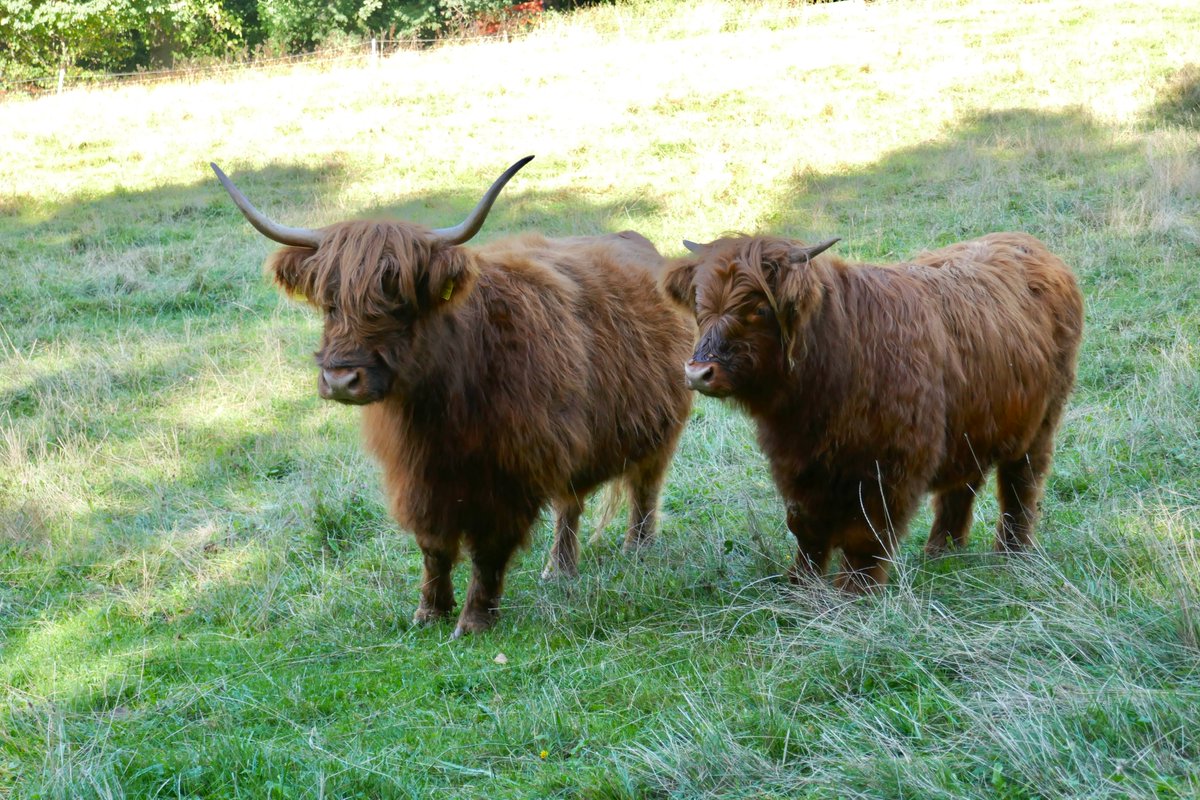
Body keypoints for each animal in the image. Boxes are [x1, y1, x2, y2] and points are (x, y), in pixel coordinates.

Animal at [212, 157, 693, 636]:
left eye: (400, 303)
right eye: (330, 303)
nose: (342, 379)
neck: (441, 412)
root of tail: (636, 241)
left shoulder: (514, 472)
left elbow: (489, 549)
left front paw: (475, 620)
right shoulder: (419, 476)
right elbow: (434, 546)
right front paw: (430, 612)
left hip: (659, 428)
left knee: (644, 488)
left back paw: (637, 549)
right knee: (569, 504)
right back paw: (558, 570)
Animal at [662, 232, 1083, 591]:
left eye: (760, 309)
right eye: (699, 306)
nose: (698, 372)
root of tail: (1030, 244)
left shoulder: (891, 466)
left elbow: (866, 534)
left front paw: (854, 592)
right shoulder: (797, 464)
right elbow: (805, 527)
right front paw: (799, 584)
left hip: (1039, 425)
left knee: (1020, 485)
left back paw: (1012, 553)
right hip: (972, 426)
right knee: (960, 488)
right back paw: (941, 553)